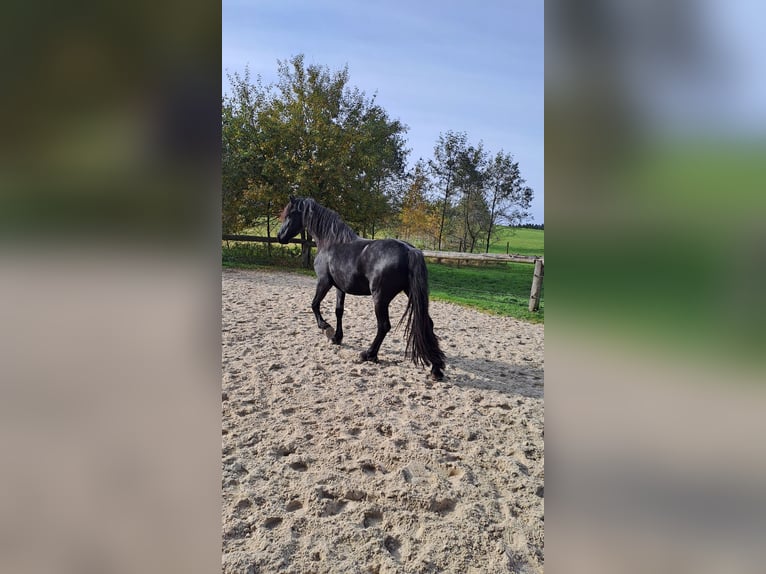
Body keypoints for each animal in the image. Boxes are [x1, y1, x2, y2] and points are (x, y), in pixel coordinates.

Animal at [277, 196, 446, 380]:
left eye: (290, 214)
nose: (280, 236)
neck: (331, 243)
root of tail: (409, 250)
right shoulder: (340, 287)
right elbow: (339, 311)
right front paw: (337, 337)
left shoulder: (323, 282)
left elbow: (314, 304)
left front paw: (326, 328)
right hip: (410, 294)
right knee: (427, 324)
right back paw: (436, 368)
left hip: (380, 298)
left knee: (384, 326)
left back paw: (369, 354)